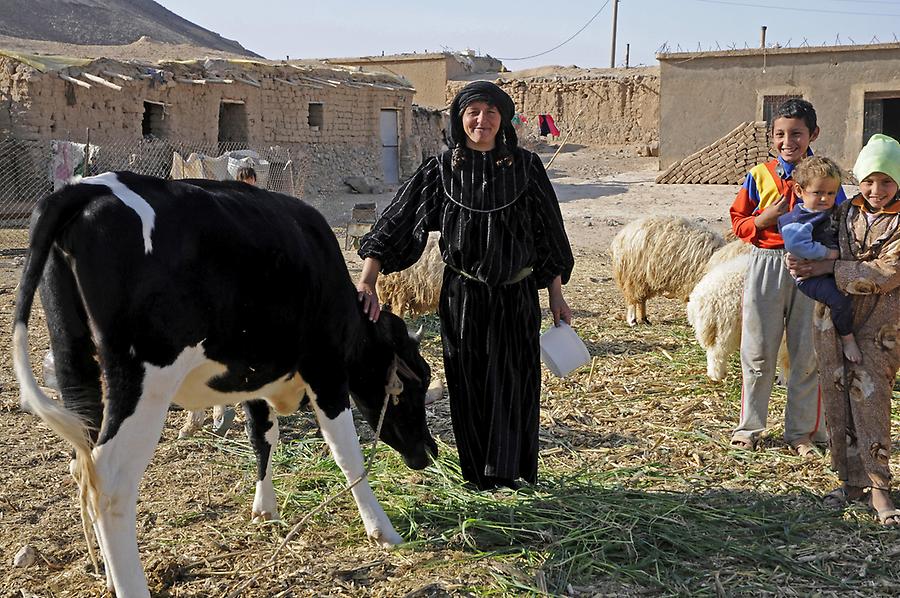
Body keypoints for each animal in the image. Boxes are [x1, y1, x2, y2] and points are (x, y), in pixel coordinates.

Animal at [12, 172, 436, 598]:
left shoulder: (254, 375)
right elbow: (347, 453)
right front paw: (382, 531)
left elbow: (262, 437)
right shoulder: (326, 369)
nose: (430, 453)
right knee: (110, 481)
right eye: (416, 383)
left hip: (76, 369)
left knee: (81, 467)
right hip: (145, 380)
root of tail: (87, 187)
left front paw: (265, 510)